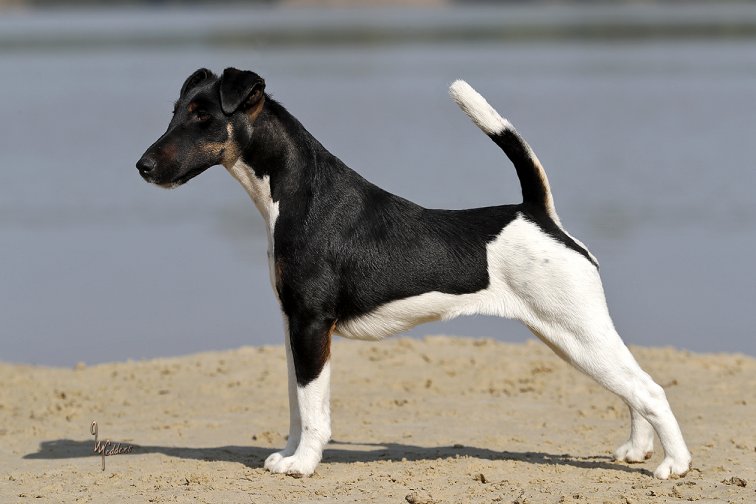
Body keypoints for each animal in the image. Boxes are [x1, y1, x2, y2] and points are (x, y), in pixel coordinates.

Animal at [136, 68, 692, 480]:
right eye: (174, 112)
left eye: (203, 116)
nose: (142, 166)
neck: (298, 194)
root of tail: (539, 214)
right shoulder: (294, 326)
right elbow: (297, 402)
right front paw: (288, 455)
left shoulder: (312, 324)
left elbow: (313, 409)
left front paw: (303, 465)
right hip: (571, 335)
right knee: (633, 387)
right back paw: (636, 451)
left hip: (577, 331)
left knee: (648, 390)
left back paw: (675, 466)